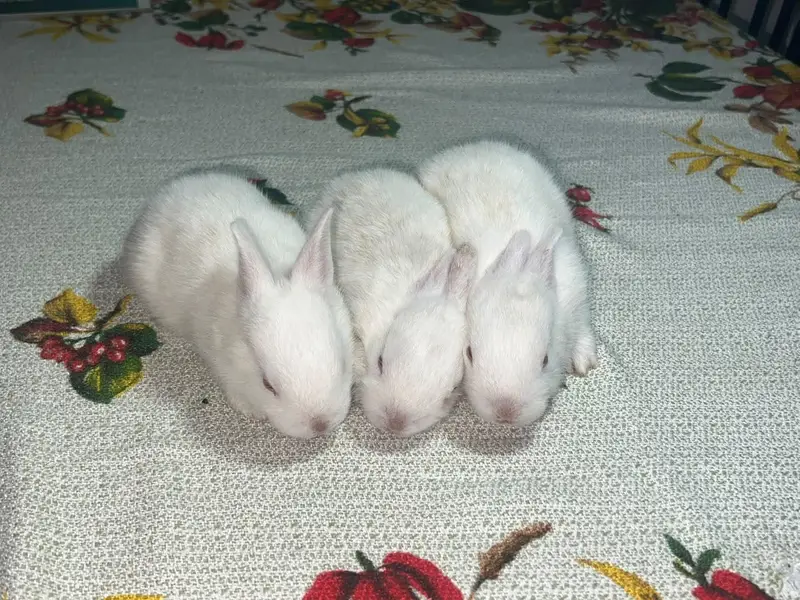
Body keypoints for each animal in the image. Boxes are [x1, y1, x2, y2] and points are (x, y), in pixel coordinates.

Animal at [121, 171, 354, 439]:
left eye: (343, 364)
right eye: (267, 384)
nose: (319, 424)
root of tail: (164, 194)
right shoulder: (220, 361)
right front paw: (250, 411)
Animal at [417, 140, 598, 427]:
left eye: (545, 359)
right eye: (469, 353)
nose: (505, 411)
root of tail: (473, 147)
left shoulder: (576, 291)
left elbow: (583, 327)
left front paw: (584, 361)